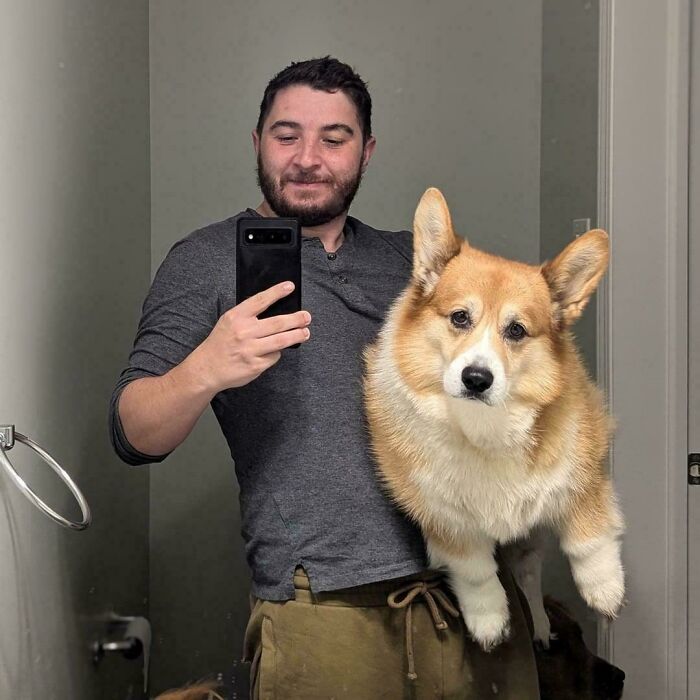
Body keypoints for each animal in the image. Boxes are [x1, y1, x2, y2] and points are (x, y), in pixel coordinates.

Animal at [364, 187, 628, 652]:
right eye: (459, 317)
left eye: (517, 330)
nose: (476, 378)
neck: (486, 427)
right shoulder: (444, 519)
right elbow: (476, 571)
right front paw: (489, 621)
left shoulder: (584, 470)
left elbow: (588, 535)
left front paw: (605, 589)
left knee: (529, 572)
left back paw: (541, 623)